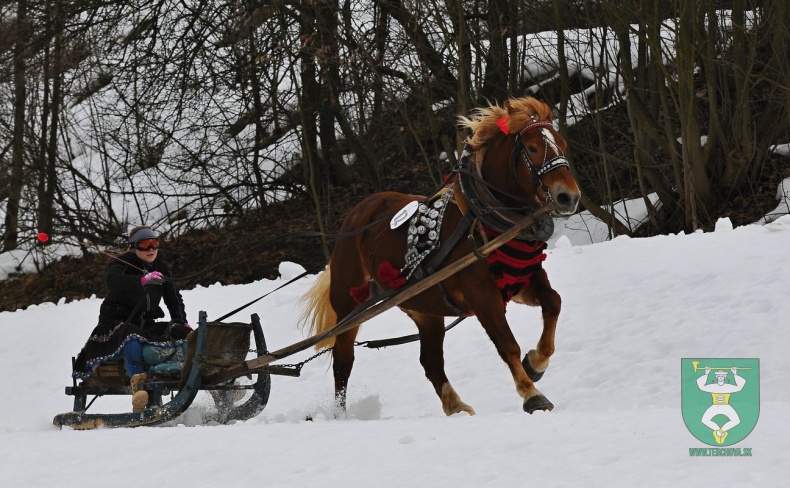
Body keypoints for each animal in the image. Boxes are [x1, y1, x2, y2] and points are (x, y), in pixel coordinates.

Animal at [298, 96, 580, 416]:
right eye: (532, 148)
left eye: (561, 142)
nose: (569, 196)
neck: (483, 217)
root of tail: (356, 215)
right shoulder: (483, 297)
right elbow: (507, 344)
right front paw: (531, 394)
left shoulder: (521, 281)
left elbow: (554, 302)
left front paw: (536, 363)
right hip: (349, 306)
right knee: (343, 362)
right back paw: (341, 415)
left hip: (425, 309)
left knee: (431, 361)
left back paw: (456, 406)